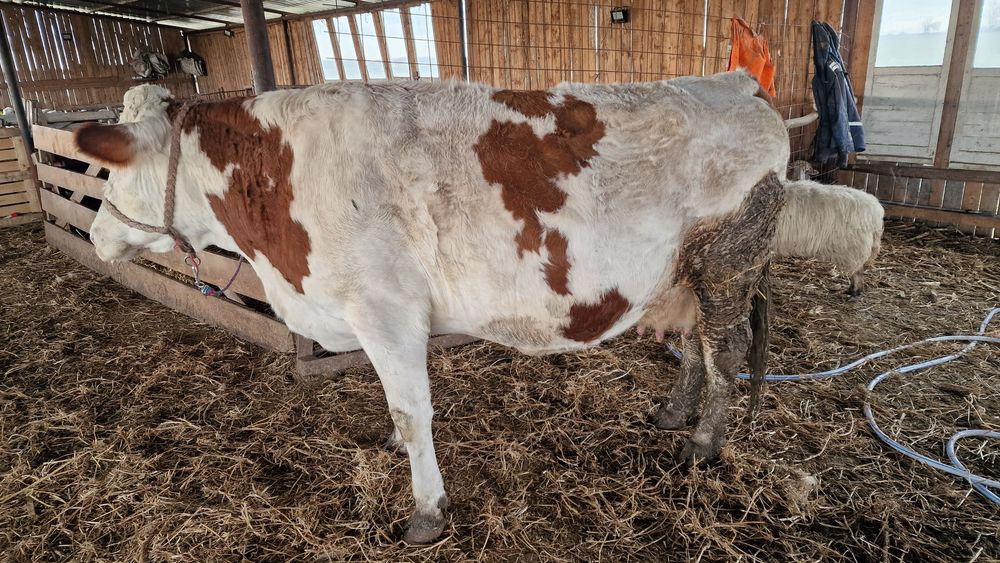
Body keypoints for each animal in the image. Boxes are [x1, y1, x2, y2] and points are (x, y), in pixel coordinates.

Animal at [73, 70, 789, 543]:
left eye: (111, 170)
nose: (98, 234)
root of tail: (737, 82)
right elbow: (395, 404)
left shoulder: (385, 308)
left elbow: (412, 410)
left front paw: (425, 510)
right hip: (689, 274)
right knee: (696, 345)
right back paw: (673, 414)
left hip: (729, 259)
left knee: (723, 352)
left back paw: (702, 444)